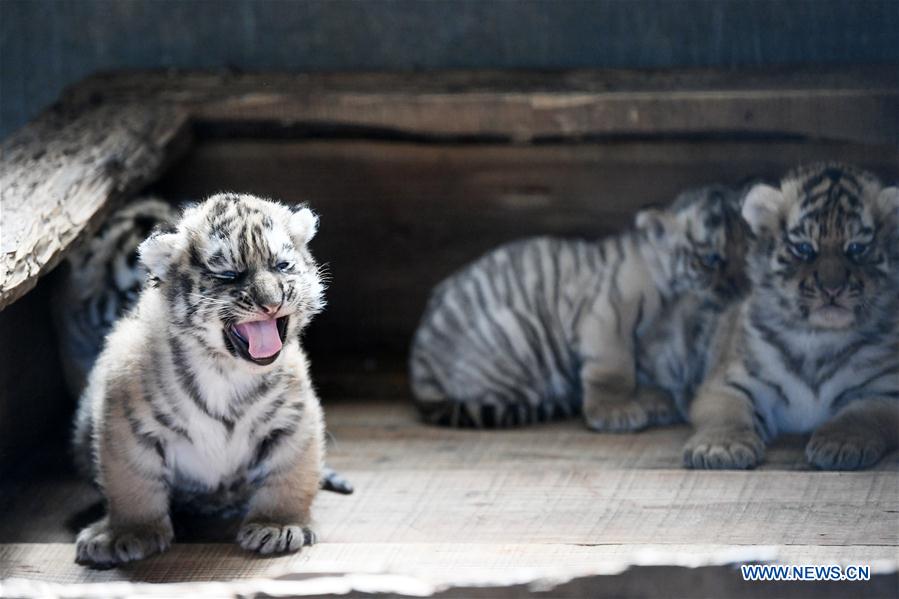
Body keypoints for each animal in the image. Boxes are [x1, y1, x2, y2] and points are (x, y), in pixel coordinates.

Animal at [73, 193, 328, 567]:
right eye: (229, 275)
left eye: (282, 265)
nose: (271, 303)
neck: (227, 370)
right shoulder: (124, 421)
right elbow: (130, 482)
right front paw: (128, 533)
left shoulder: (294, 419)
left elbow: (291, 474)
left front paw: (279, 525)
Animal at [409, 184, 750, 431]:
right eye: (712, 259)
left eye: (746, 252)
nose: (744, 289)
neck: (669, 292)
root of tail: (419, 371)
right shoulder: (607, 316)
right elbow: (615, 369)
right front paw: (615, 413)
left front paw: (656, 403)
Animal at [683, 163, 899, 470]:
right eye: (804, 248)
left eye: (856, 248)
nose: (832, 289)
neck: (819, 337)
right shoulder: (729, 384)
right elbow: (726, 413)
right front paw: (720, 447)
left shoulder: (885, 391)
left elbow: (861, 415)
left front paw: (840, 443)